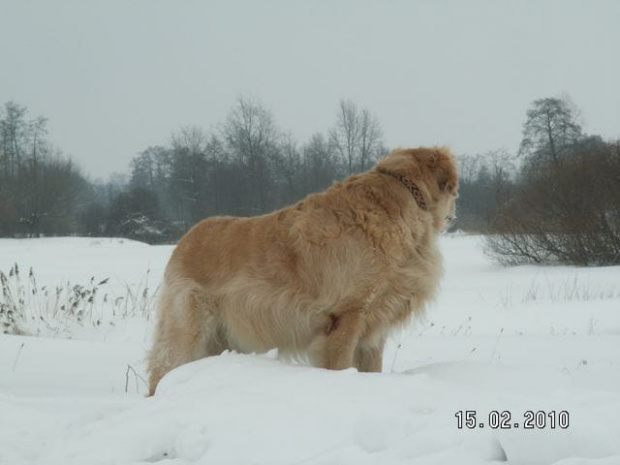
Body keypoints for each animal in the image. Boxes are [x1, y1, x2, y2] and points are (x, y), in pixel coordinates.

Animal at [145, 147, 456, 394]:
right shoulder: (346, 315)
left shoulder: (375, 327)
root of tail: (185, 239)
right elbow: (340, 365)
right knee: (163, 369)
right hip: (188, 330)